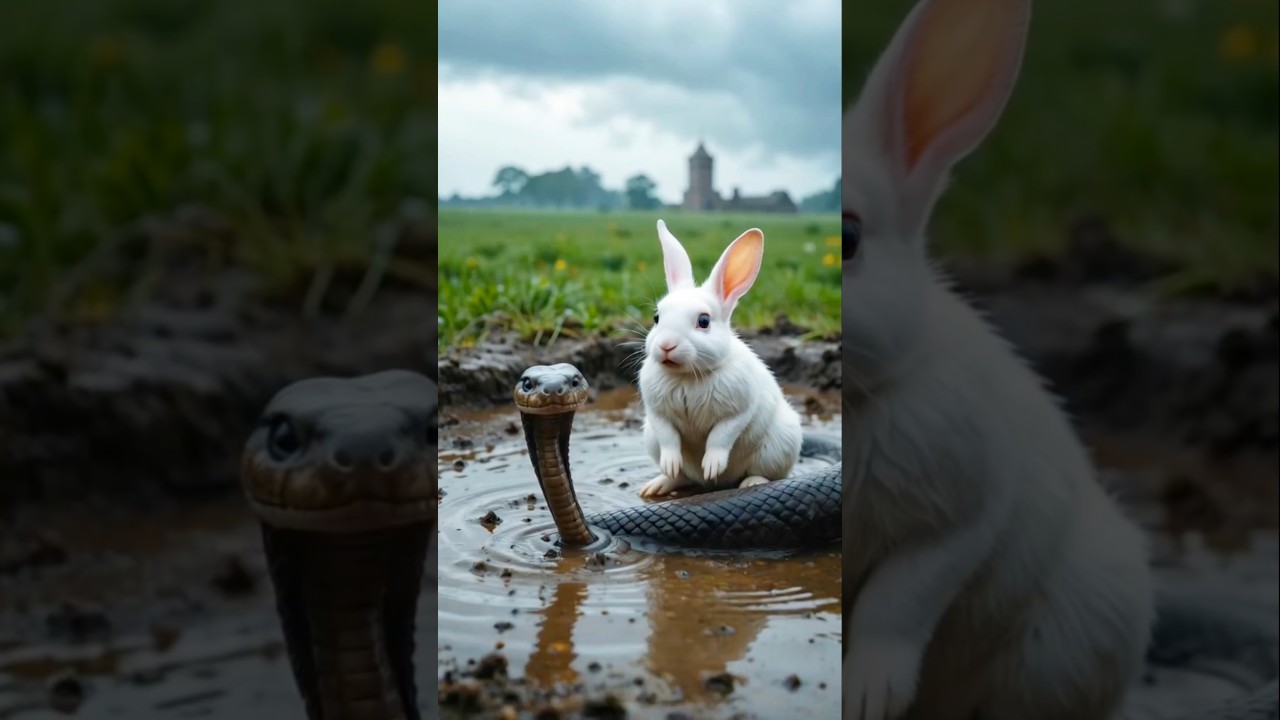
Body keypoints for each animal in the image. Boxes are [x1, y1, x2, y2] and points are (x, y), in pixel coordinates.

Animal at [636, 219, 804, 500]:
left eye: (704, 321)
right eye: (656, 318)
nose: (666, 345)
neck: (688, 376)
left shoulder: (737, 412)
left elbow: (720, 437)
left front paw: (712, 467)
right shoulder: (657, 414)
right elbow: (669, 438)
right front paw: (670, 464)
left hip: (779, 446)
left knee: (769, 474)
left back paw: (751, 482)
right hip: (650, 438)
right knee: (681, 477)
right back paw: (658, 485)